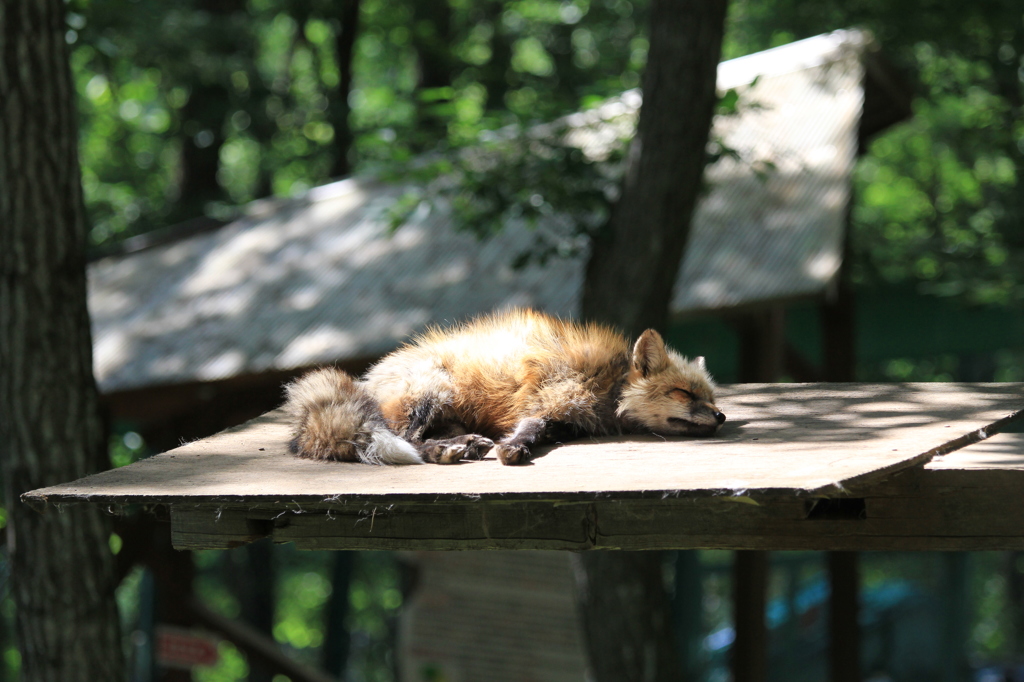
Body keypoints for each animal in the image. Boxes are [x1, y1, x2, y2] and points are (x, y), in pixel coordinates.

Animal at [284, 311, 724, 464]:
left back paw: (464, 445)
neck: (607, 387)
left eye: (711, 397)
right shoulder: (550, 396)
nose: (721, 416)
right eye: (685, 394)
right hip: (431, 391)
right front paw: (513, 449)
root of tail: (366, 378)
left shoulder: (565, 417)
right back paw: (446, 452)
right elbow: (529, 427)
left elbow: (543, 430)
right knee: (404, 439)